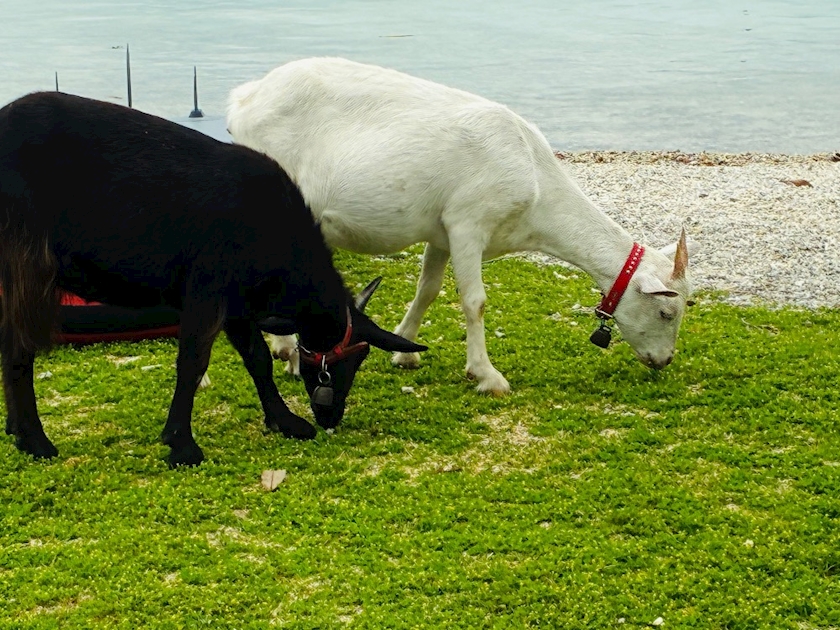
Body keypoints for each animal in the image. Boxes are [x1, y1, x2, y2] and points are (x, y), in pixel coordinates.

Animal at [0, 91, 425, 467]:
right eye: (351, 358)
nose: (330, 417)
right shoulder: (207, 288)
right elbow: (192, 363)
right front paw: (182, 445)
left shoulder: (236, 303)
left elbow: (257, 358)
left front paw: (285, 421)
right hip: (27, 258)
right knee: (20, 347)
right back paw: (35, 441)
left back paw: (16, 430)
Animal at [227, 57, 694, 395]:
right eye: (667, 311)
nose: (663, 361)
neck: (537, 184)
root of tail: (243, 101)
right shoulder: (469, 223)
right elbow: (475, 301)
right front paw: (487, 376)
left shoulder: (442, 232)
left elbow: (428, 289)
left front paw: (405, 352)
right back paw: (286, 352)